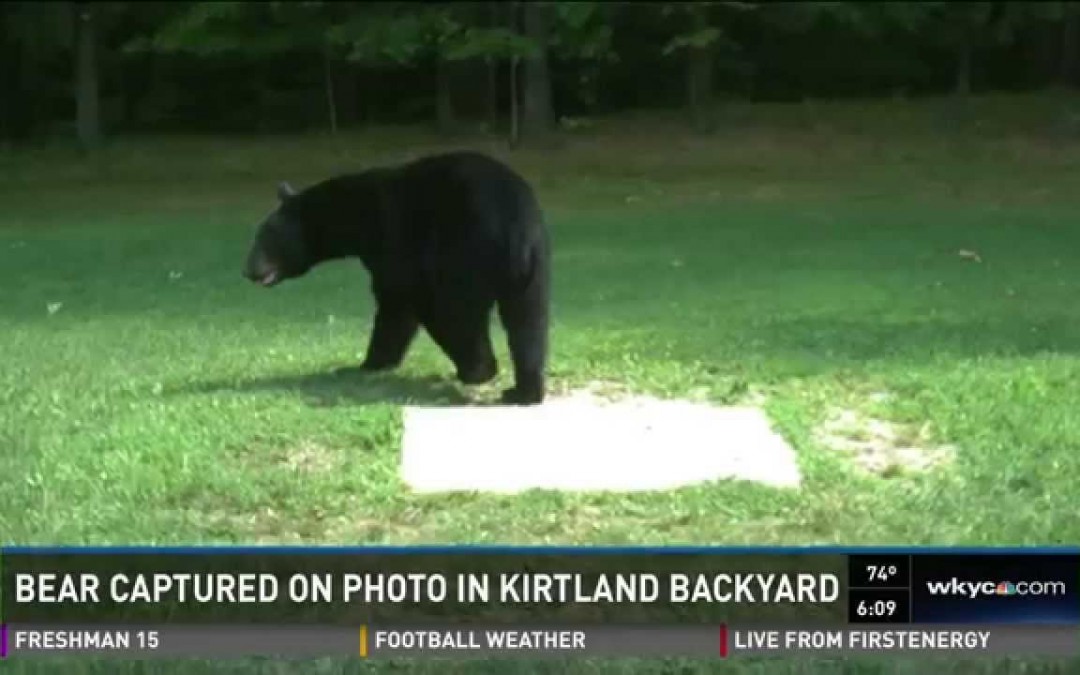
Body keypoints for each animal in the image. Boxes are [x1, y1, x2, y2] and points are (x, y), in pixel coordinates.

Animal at [241, 151, 552, 406]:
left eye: (265, 238)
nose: (248, 270)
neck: (357, 218)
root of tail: (514, 222)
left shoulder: (393, 239)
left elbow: (396, 301)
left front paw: (365, 364)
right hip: (531, 268)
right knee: (527, 320)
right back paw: (524, 391)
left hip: (465, 248)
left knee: (455, 309)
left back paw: (477, 370)